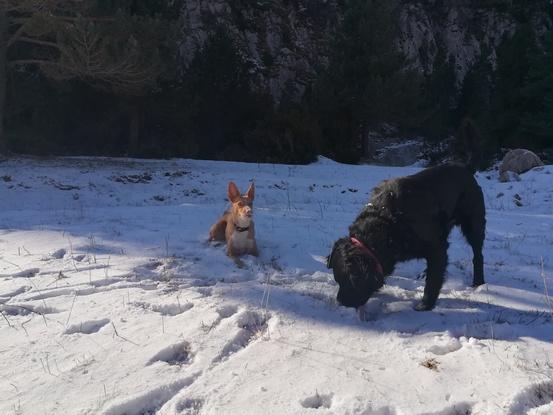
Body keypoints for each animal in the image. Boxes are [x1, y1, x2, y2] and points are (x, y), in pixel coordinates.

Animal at [328, 164, 484, 314]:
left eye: (351, 280)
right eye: (337, 280)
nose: (341, 302)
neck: (389, 222)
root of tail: (466, 169)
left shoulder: (437, 247)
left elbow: (434, 279)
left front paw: (425, 305)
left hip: (473, 225)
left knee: (478, 255)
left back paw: (478, 282)